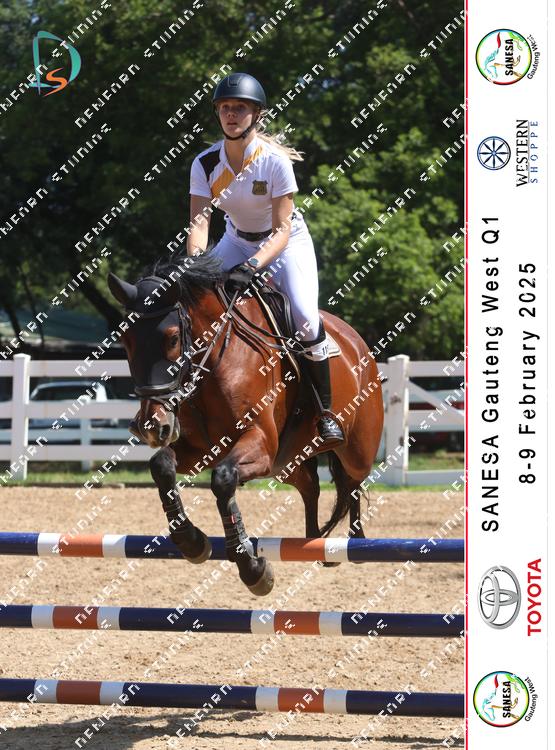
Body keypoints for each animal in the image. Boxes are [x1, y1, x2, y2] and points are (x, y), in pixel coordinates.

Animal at [107, 251, 384, 596]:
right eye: (126, 341)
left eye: (171, 339)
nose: (151, 426)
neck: (214, 360)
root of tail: (358, 343)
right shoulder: (202, 450)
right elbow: (162, 466)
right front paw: (191, 541)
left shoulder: (259, 443)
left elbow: (224, 479)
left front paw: (252, 568)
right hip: (286, 463)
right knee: (311, 486)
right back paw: (315, 542)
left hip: (354, 449)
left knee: (353, 482)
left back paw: (355, 543)